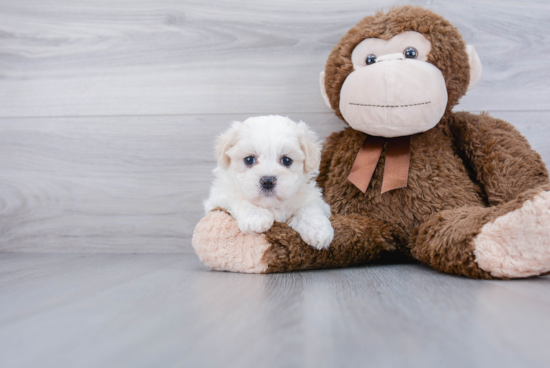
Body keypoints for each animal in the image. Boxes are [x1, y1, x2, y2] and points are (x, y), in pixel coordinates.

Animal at [206, 116, 336, 250]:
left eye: (286, 160)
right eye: (249, 160)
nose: (267, 181)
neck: (271, 204)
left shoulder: (312, 198)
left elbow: (309, 207)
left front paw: (318, 229)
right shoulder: (219, 196)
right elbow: (237, 198)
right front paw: (256, 216)